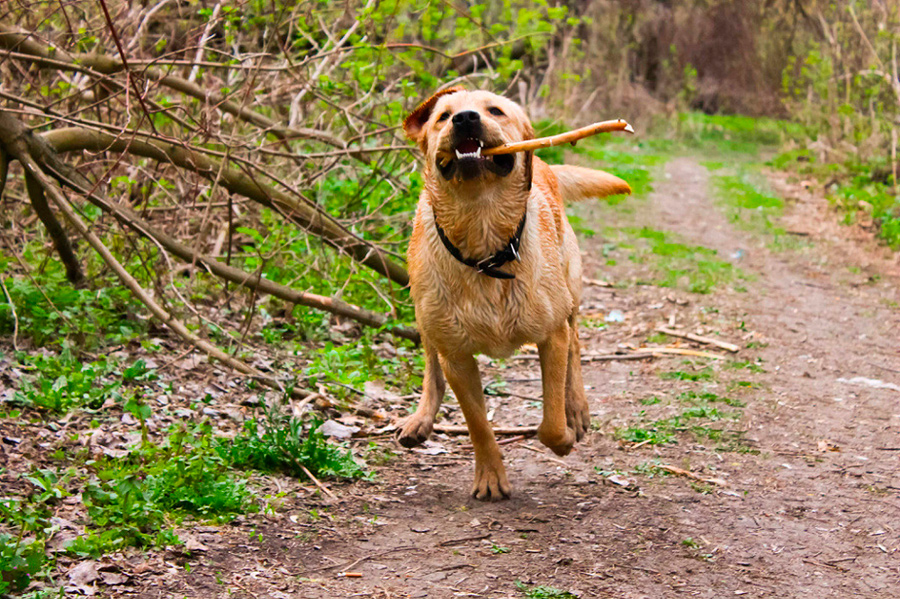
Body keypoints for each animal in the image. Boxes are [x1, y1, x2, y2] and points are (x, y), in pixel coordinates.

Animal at [398, 86, 628, 500]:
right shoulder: (457, 358)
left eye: (495, 110)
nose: (465, 119)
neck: (485, 246)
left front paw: (564, 437)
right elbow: (478, 424)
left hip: (571, 289)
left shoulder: (551, 336)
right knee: (430, 362)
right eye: (443, 116)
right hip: (424, 312)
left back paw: (577, 409)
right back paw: (422, 418)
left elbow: (550, 420)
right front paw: (490, 477)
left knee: (576, 346)